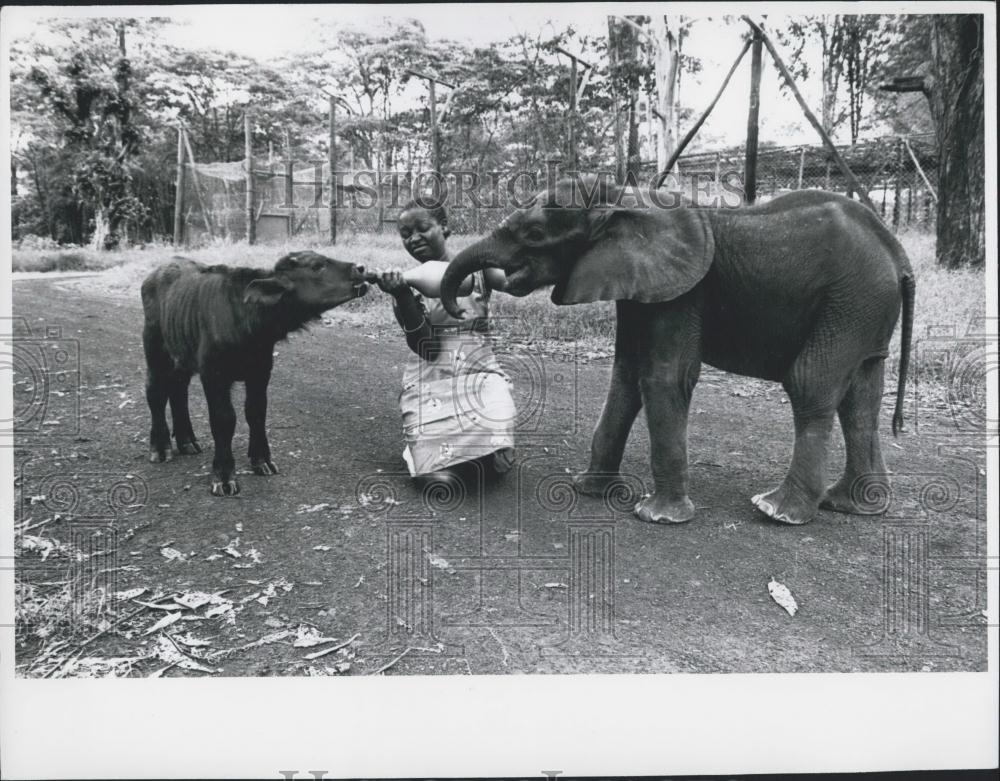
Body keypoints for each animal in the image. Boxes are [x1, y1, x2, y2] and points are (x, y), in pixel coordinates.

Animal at [141, 251, 370, 496]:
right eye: (316, 266)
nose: (360, 268)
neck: (247, 322)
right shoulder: (213, 375)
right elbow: (223, 420)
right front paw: (224, 475)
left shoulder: (261, 372)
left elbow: (256, 412)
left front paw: (262, 460)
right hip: (154, 349)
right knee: (155, 393)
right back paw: (160, 448)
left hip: (181, 355)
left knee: (178, 390)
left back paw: (187, 442)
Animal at [440, 180, 915, 526]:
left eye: (536, 234)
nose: (465, 303)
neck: (619, 200)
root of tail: (899, 256)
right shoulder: (636, 285)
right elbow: (627, 375)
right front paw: (590, 491)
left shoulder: (682, 293)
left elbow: (665, 376)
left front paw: (657, 517)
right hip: (862, 307)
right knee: (861, 396)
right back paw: (852, 505)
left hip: (851, 299)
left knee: (810, 383)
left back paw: (778, 511)